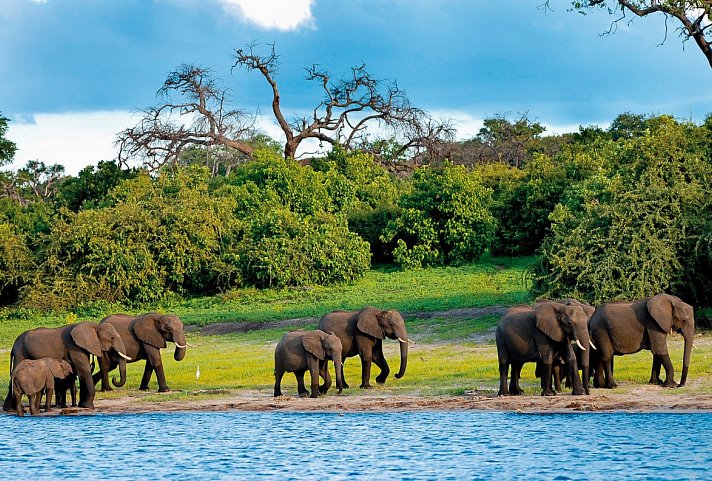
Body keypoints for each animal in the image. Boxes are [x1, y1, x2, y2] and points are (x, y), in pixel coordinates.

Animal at [3, 322, 131, 408]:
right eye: (112, 337)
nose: (115, 379)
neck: (93, 326)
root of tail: (13, 345)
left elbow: (81, 373)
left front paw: (82, 405)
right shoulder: (74, 347)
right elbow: (84, 370)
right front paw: (88, 407)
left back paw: (10, 409)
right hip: (21, 353)